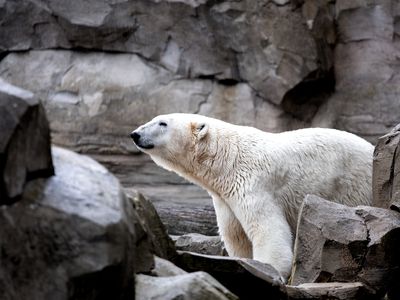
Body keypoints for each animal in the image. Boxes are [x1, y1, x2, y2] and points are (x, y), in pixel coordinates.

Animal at [130, 113, 374, 280]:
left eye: (162, 123)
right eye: (154, 119)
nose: (135, 134)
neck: (226, 158)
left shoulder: (253, 184)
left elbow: (267, 229)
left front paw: (269, 269)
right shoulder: (225, 196)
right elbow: (236, 235)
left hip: (353, 184)